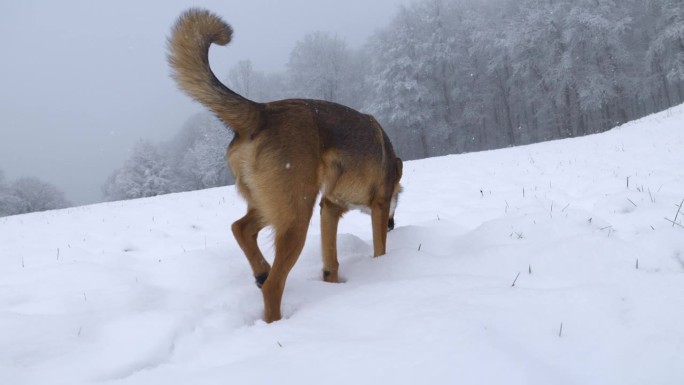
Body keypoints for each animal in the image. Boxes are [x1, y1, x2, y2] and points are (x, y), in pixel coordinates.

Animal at [167, 8, 400, 320]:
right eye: (398, 197)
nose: (393, 225)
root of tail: (261, 112)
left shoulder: (329, 207)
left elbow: (331, 263)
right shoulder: (378, 204)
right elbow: (379, 248)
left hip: (275, 204)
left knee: (240, 228)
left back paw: (261, 271)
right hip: (296, 214)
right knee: (273, 285)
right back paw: (275, 317)